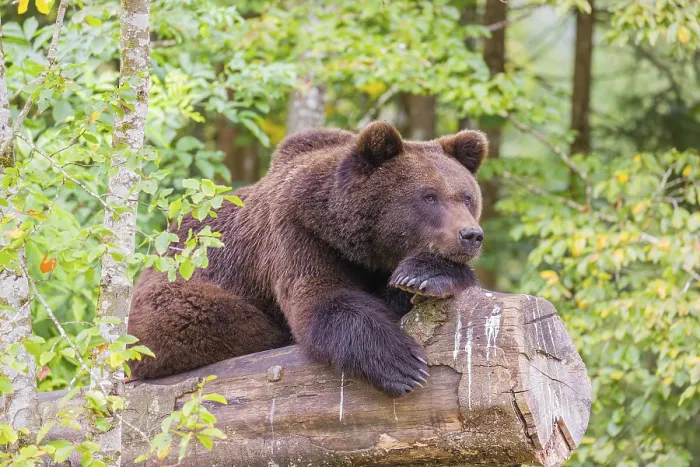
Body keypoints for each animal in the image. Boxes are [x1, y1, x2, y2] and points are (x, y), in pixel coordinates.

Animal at [127, 121, 487, 397]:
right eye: (429, 196)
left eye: (467, 197)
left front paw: (423, 276)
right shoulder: (299, 235)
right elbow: (322, 299)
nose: (471, 235)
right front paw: (402, 364)